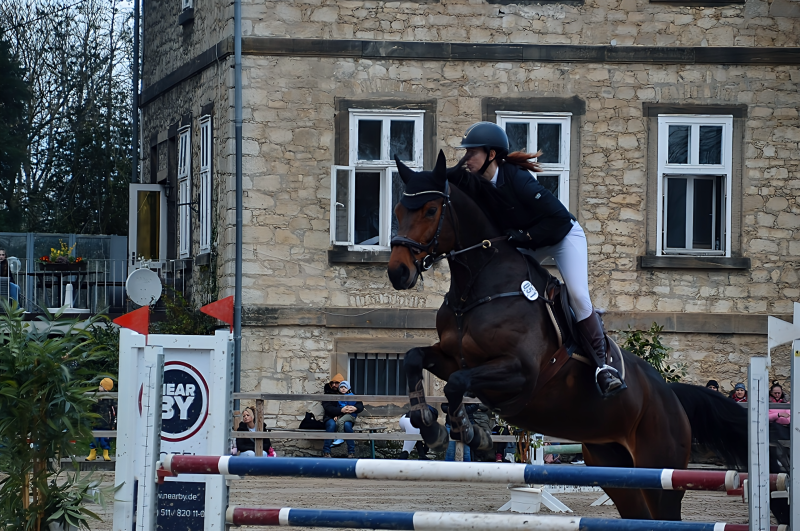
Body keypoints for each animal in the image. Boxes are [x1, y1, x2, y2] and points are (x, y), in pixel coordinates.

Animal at [388, 152, 752, 520]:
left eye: (431, 210)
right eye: (399, 211)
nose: (397, 272)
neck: (477, 288)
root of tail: (670, 393)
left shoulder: (521, 373)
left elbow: (457, 383)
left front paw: (469, 431)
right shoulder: (453, 357)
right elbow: (415, 360)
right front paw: (430, 425)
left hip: (660, 469)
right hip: (614, 467)